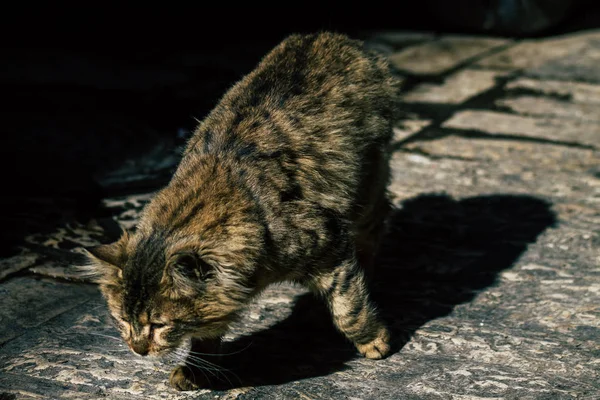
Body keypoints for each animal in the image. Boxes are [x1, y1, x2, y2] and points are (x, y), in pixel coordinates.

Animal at [81, 32, 398, 390]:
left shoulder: (329, 241)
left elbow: (349, 308)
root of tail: (326, 35)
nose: (138, 349)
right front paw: (196, 370)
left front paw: (372, 341)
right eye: (123, 320)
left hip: (367, 186)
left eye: (159, 325)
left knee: (378, 222)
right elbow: (207, 332)